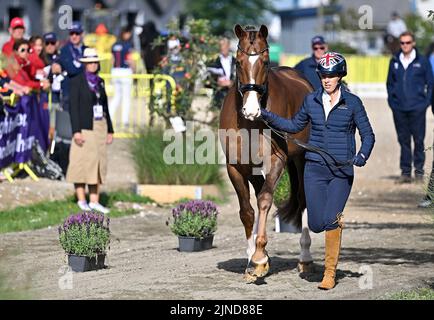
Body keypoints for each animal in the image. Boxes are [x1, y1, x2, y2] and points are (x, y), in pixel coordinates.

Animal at [220, 23, 312, 282]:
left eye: (266, 61)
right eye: (238, 61)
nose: (251, 110)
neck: (250, 123)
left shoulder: (276, 161)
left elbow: (264, 201)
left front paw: (260, 258)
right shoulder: (236, 167)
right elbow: (247, 211)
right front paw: (253, 259)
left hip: (301, 159)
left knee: (302, 200)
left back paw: (305, 258)